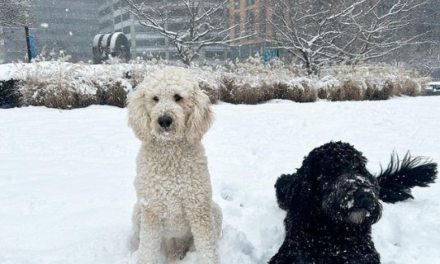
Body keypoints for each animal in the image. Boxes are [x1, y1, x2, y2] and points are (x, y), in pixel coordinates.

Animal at [127, 68, 223, 264]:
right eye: (155, 98)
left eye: (178, 97)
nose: (164, 120)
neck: (170, 154)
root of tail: (175, 247)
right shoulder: (152, 210)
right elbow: (147, 251)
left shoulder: (199, 208)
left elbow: (208, 248)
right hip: (138, 213)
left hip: (214, 211)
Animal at [270, 141, 434, 262]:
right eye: (331, 171)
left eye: (359, 169)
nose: (365, 194)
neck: (333, 230)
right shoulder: (292, 250)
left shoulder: (364, 252)